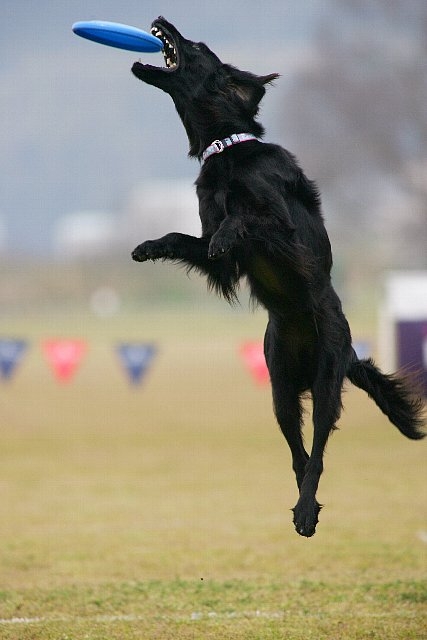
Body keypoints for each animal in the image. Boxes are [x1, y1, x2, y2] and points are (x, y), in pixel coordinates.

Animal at [131, 17, 425, 537]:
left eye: (198, 46)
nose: (162, 21)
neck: (227, 150)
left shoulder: (281, 228)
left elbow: (244, 220)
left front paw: (229, 230)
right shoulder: (218, 262)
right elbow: (188, 239)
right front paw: (150, 247)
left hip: (326, 382)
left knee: (318, 453)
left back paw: (306, 511)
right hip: (281, 392)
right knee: (298, 455)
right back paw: (302, 504)